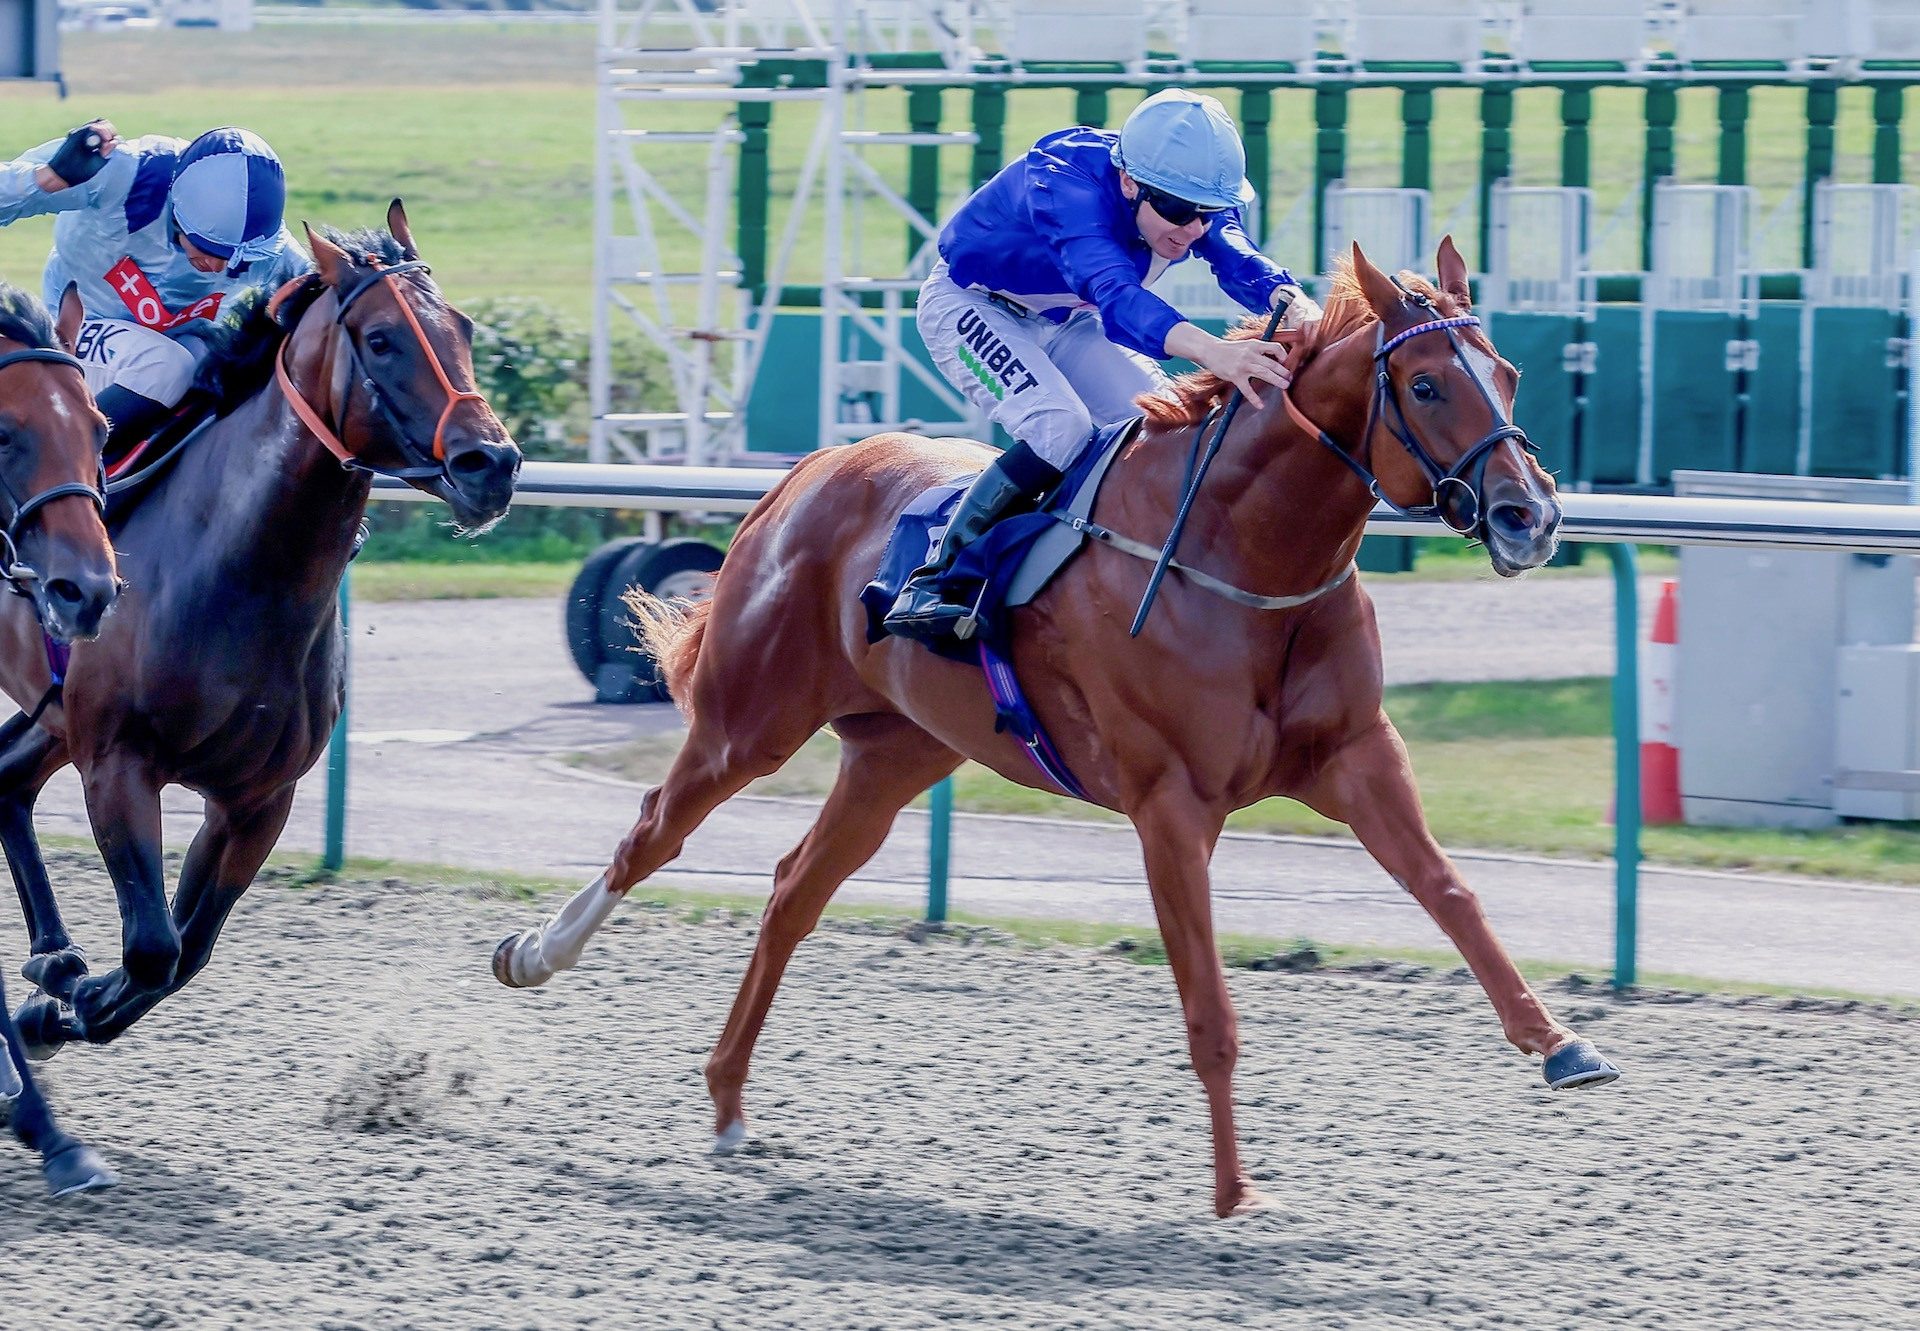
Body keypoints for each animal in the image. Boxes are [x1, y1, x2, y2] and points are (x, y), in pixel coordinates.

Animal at [0, 199, 522, 1067]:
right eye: (382, 339)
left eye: (465, 327)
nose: (492, 463)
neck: (242, 573)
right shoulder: (116, 763)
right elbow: (153, 947)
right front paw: (58, 1003)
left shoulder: (256, 802)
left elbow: (182, 955)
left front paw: (56, 1002)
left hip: (55, 712)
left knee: (7, 778)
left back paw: (50, 954)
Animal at [487, 239, 1612, 1213]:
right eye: (1424, 385)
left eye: (1508, 372)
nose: (1533, 517)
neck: (1244, 558)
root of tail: (803, 475)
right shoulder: (1170, 806)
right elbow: (1210, 1008)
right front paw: (1234, 1190)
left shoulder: (1356, 757)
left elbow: (1451, 892)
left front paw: (1561, 1041)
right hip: (748, 723)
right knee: (652, 834)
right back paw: (535, 955)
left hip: (897, 752)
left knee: (793, 888)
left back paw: (726, 1099)